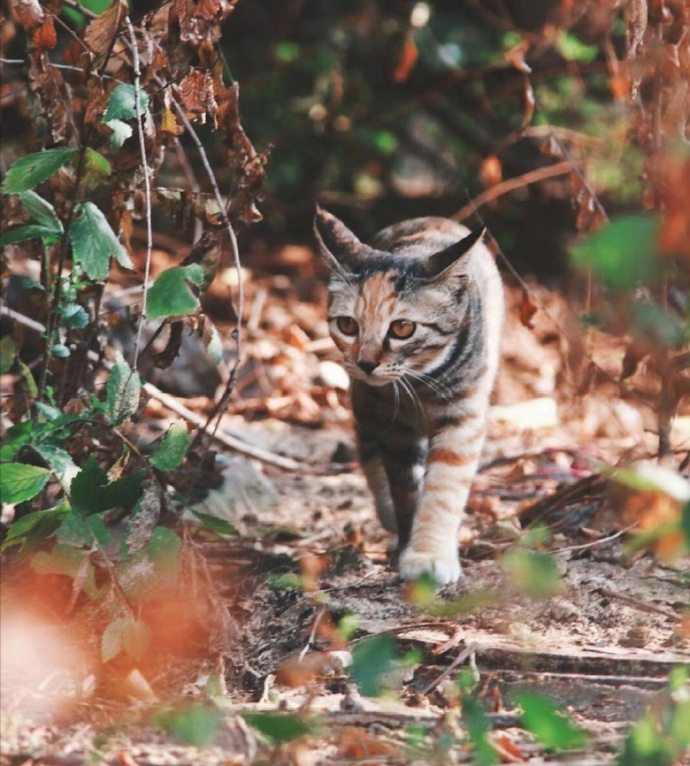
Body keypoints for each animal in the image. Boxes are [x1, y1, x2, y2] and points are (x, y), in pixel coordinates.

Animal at [314, 207, 502, 584]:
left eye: (403, 328)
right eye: (348, 325)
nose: (366, 362)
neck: (419, 384)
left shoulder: (463, 415)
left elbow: (444, 487)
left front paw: (430, 552)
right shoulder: (391, 424)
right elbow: (404, 489)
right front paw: (408, 541)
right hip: (364, 405)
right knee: (369, 455)